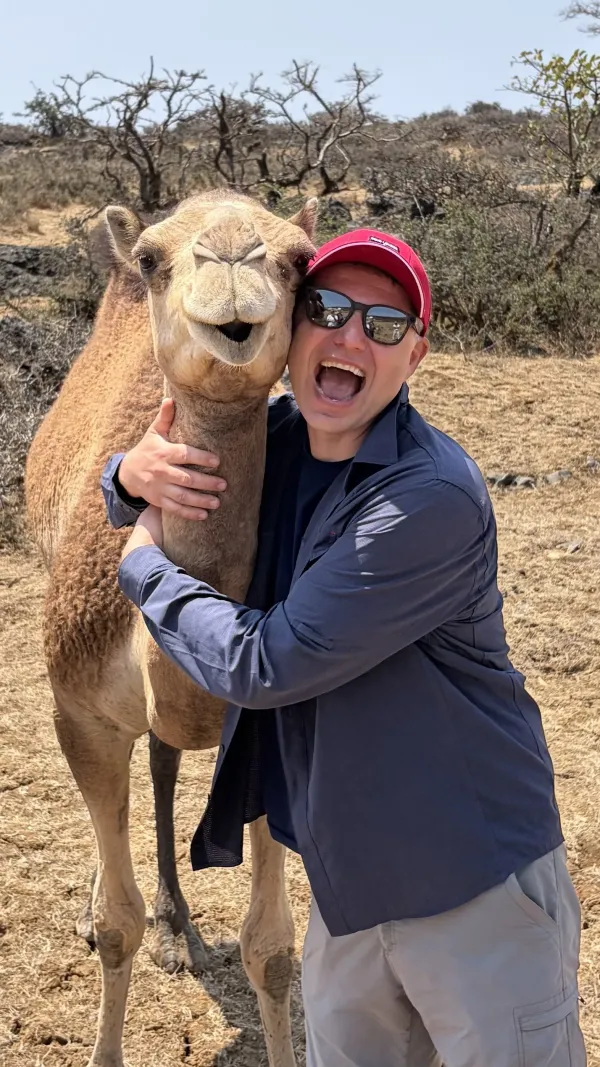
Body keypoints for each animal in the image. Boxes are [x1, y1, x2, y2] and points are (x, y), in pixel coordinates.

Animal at [25, 189, 317, 1067]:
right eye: (156, 258)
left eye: (300, 260)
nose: (230, 257)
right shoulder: (79, 707)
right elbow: (116, 927)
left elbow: (272, 945)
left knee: (159, 759)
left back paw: (177, 921)